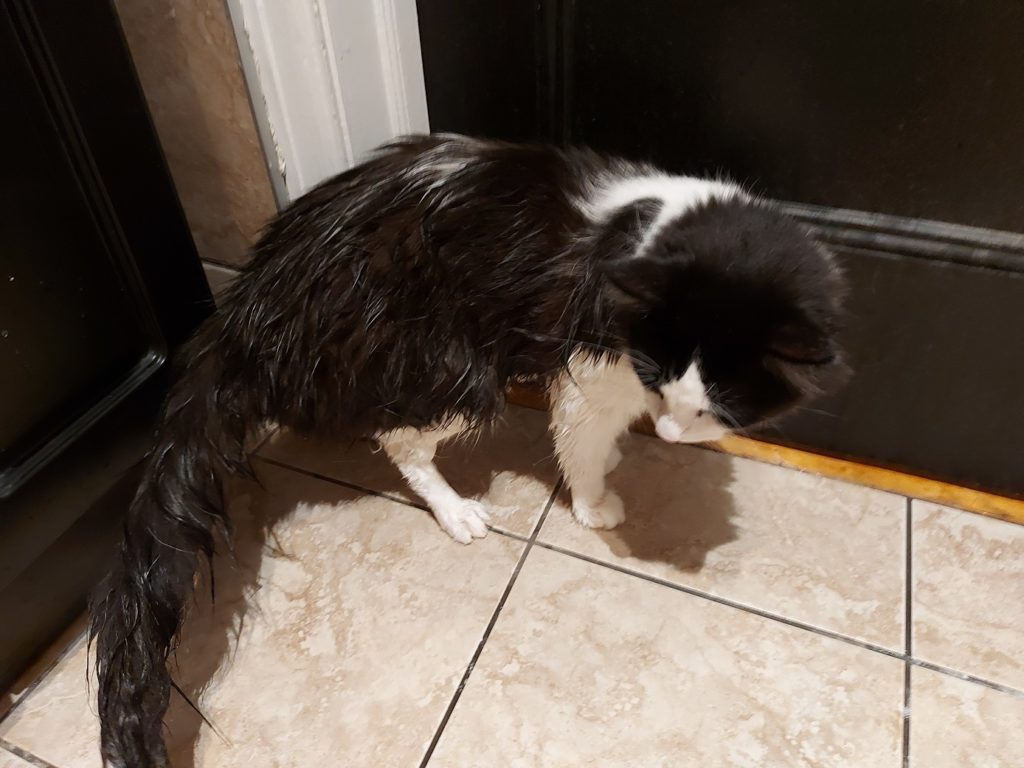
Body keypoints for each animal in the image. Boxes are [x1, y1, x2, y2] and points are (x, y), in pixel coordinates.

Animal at [90, 135, 847, 765]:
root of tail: (251, 305)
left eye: (717, 400)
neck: (658, 227)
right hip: (453, 364)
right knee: (400, 441)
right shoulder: (589, 369)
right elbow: (579, 440)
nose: (667, 432)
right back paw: (456, 512)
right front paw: (595, 501)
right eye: (658, 372)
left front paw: (617, 461)